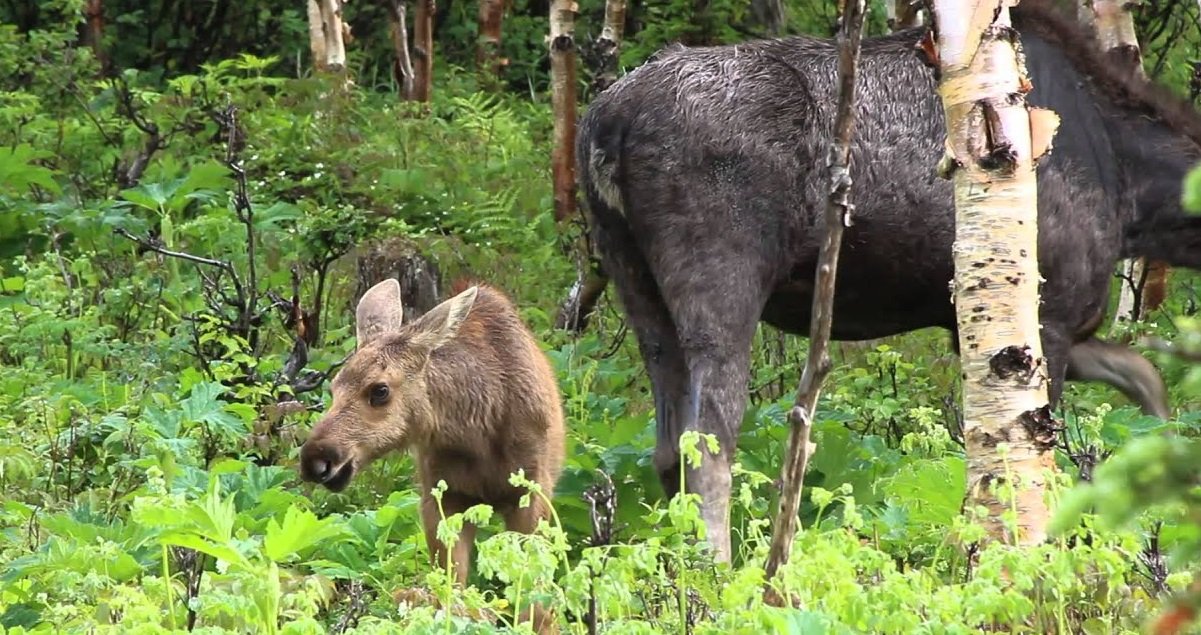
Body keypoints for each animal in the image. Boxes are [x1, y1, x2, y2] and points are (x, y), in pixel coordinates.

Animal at [297, 277, 564, 588]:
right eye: (334, 386)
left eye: (380, 390)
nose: (316, 459)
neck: (476, 433)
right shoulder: (440, 495)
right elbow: (449, 585)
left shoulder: (533, 490)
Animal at [571, 1, 1201, 564]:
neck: (1135, 199)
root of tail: (603, 129)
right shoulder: (1050, 312)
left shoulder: (1033, 325)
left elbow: (1148, 384)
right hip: (721, 272)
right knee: (707, 441)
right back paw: (720, 576)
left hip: (632, 279)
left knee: (664, 447)